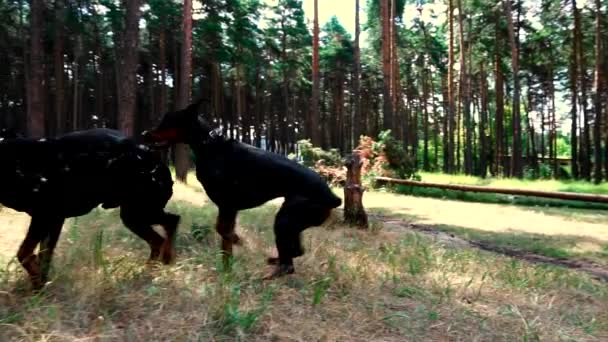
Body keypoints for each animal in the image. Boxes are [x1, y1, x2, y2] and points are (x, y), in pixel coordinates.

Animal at [0, 128, 179, 288]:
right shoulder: (53, 220)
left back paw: (166, 259)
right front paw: (40, 286)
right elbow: (44, 255)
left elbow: (24, 253)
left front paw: (37, 280)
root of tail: (156, 158)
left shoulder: (44, 217)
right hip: (134, 217)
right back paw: (148, 271)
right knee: (158, 241)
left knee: (172, 222)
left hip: (141, 211)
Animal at [142, 101, 342, 278]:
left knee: (289, 264)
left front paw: (237, 241)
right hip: (294, 222)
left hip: (285, 220)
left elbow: (222, 230)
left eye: (167, 121)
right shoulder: (229, 208)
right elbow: (224, 240)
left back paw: (268, 274)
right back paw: (275, 261)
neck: (208, 144)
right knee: (297, 251)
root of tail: (333, 197)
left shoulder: (227, 204)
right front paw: (226, 268)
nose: (145, 133)